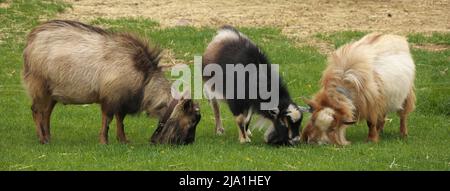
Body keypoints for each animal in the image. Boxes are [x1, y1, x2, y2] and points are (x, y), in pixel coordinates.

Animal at [22, 19, 201, 145]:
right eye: (192, 120)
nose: (189, 142)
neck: (144, 78)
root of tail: (31, 39)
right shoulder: (110, 98)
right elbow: (107, 120)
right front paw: (104, 141)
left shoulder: (122, 101)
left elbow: (120, 120)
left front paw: (123, 139)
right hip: (39, 86)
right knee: (36, 111)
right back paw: (42, 139)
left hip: (52, 92)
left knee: (46, 113)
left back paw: (48, 137)